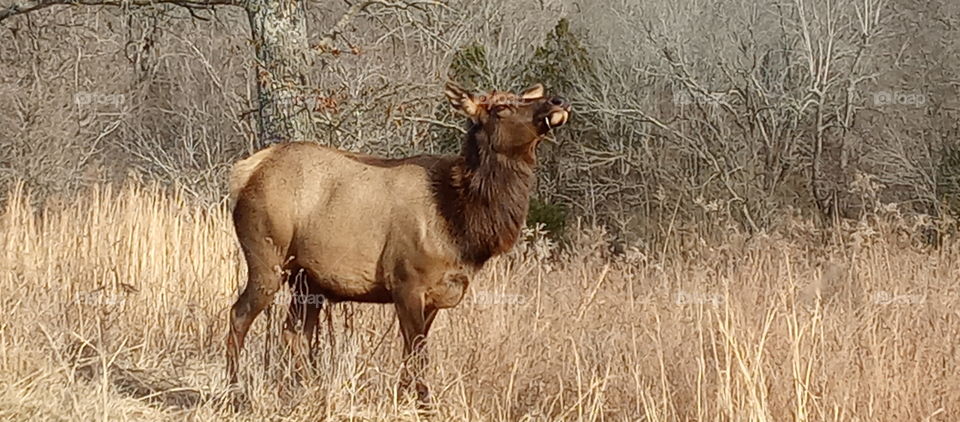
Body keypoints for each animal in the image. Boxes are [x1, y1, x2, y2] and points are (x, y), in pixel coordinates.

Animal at [225, 81, 570, 404]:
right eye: (500, 108)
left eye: (523, 97)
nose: (557, 101)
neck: (460, 223)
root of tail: (242, 173)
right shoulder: (406, 281)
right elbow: (417, 354)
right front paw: (422, 403)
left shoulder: (435, 294)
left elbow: (411, 355)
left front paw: (405, 398)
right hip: (267, 257)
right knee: (239, 314)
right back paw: (235, 393)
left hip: (307, 280)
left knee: (294, 333)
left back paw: (307, 390)